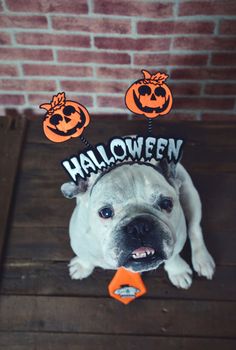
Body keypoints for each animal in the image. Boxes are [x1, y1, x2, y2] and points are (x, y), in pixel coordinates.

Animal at [61, 160, 216, 288]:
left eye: (166, 204)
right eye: (105, 212)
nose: (139, 226)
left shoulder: (177, 239)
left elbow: (173, 256)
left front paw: (177, 271)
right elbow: (85, 257)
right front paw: (82, 266)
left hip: (190, 193)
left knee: (195, 228)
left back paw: (202, 260)